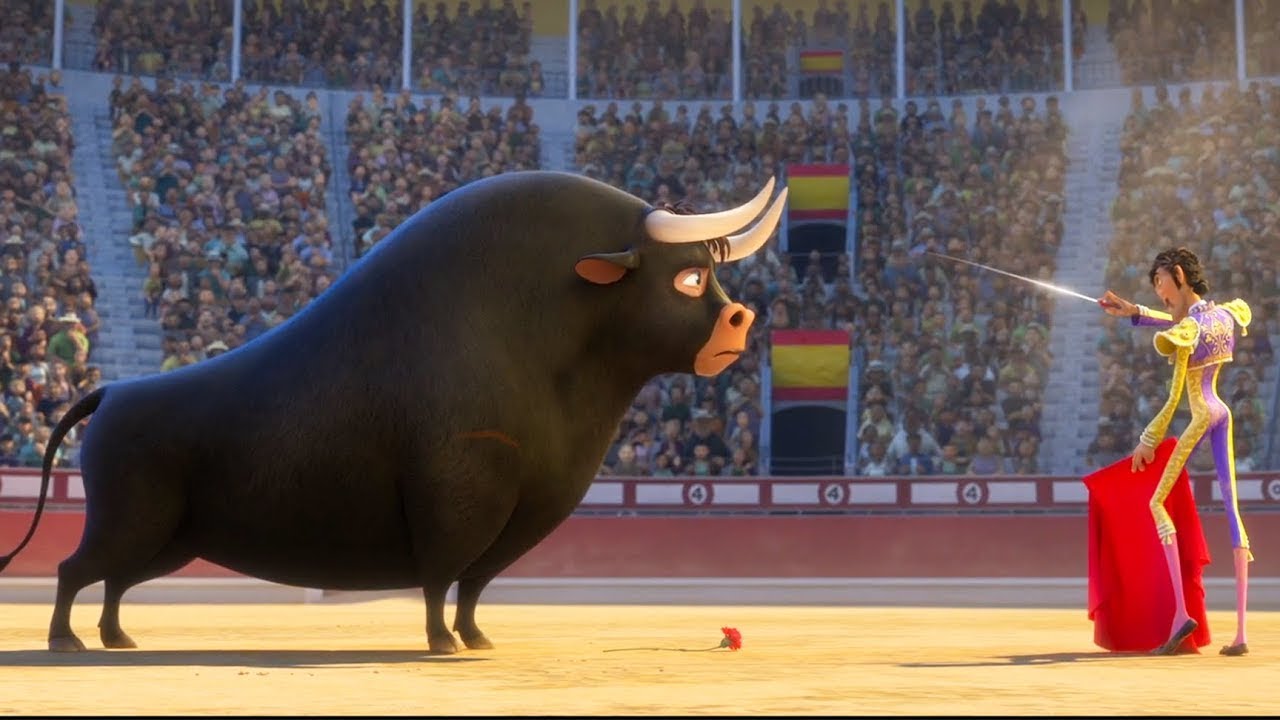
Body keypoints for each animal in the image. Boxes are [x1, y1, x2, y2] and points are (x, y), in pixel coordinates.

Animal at [0, 170, 787, 654]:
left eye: (710, 274)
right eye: (688, 279)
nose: (741, 321)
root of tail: (114, 391)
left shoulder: (523, 510)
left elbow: (474, 584)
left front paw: (475, 639)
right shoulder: (456, 489)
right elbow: (442, 574)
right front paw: (440, 643)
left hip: (168, 538)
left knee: (112, 581)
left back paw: (117, 638)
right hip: (130, 521)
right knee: (75, 569)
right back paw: (68, 640)